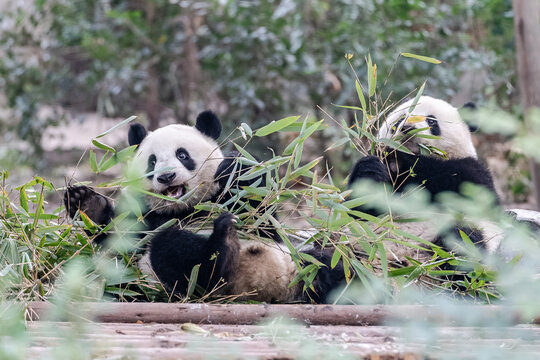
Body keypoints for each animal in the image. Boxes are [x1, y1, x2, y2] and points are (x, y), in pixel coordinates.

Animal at [63, 110, 342, 304]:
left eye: (182, 155)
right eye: (152, 162)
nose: (166, 177)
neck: (187, 208)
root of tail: (267, 286)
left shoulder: (233, 201)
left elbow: (259, 207)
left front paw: (235, 166)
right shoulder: (146, 216)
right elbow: (121, 240)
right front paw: (86, 202)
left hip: (300, 262)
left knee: (331, 265)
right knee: (174, 253)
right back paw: (223, 246)